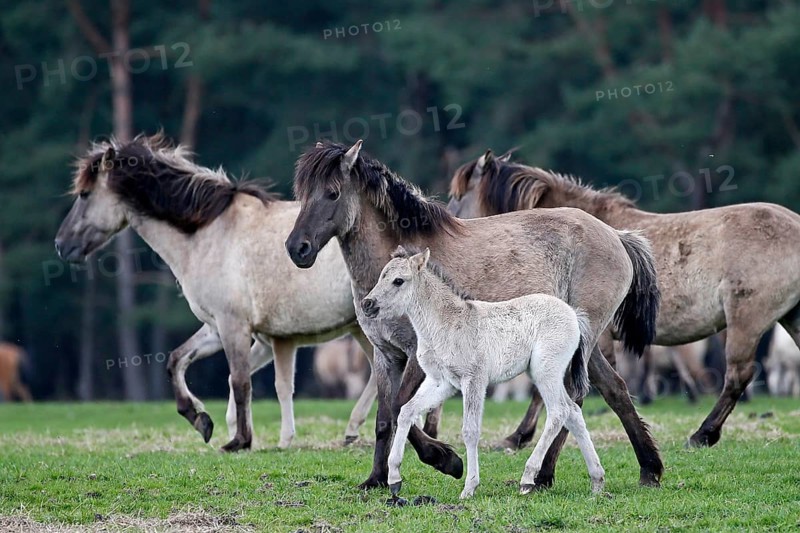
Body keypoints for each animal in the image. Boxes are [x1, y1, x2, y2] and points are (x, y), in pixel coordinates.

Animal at [54, 133, 378, 450]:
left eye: (85, 194)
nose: (62, 244)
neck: (208, 234)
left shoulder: (232, 325)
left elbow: (239, 381)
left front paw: (240, 440)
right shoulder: (216, 327)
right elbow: (177, 361)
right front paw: (201, 420)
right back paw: (352, 430)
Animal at [363, 247, 604, 500]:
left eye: (398, 281)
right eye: (381, 277)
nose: (367, 304)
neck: (446, 324)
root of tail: (574, 315)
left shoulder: (474, 380)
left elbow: (470, 430)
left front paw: (469, 487)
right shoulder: (442, 382)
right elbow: (406, 411)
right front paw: (394, 478)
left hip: (546, 372)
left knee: (559, 412)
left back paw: (528, 478)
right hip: (545, 374)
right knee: (573, 412)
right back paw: (597, 480)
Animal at [448, 150, 800, 446]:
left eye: (457, 197)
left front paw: (518, 436)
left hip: (746, 321)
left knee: (737, 375)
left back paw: (703, 434)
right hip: (790, 317)